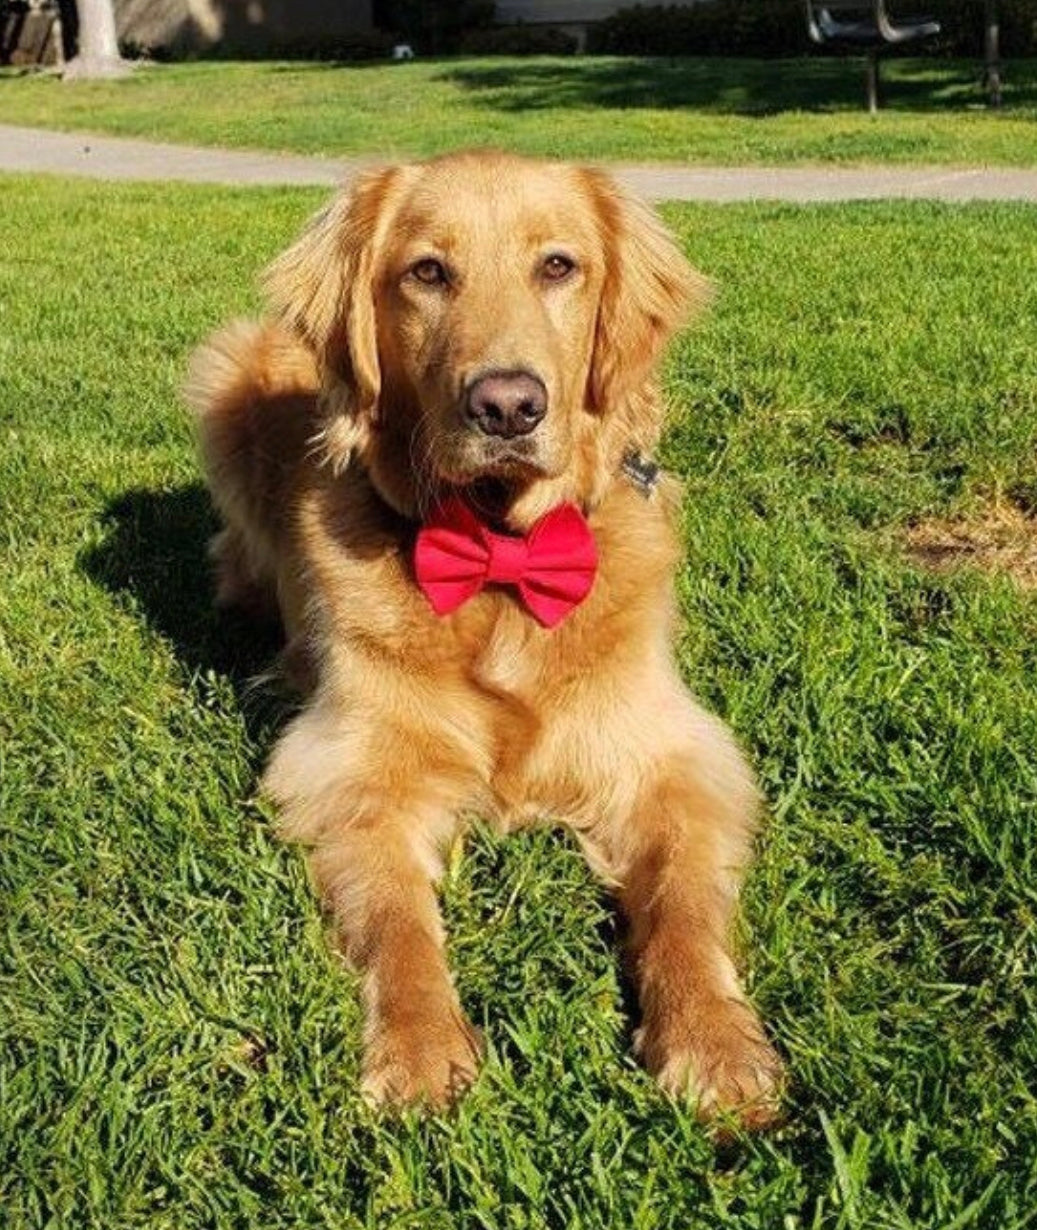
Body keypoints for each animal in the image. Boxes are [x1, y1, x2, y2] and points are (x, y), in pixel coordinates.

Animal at [188, 151, 787, 1126]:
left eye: (558, 266)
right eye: (427, 272)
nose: (506, 406)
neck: (501, 563)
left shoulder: (673, 756)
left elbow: (683, 905)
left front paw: (713, 1041)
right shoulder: (347, 772)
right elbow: (398, 922)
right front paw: (421, 1048)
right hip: (221, 373)